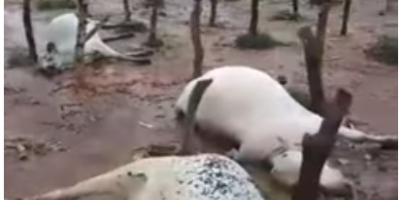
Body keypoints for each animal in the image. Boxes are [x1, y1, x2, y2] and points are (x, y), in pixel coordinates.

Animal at [175, 65, 396, 194]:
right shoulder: (253, 146)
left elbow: (358, 134)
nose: (346, 188)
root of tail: (196, 80)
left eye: (328, 161)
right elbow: (240, 155)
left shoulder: (321, 123)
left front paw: (390, 140)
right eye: (299, 178)